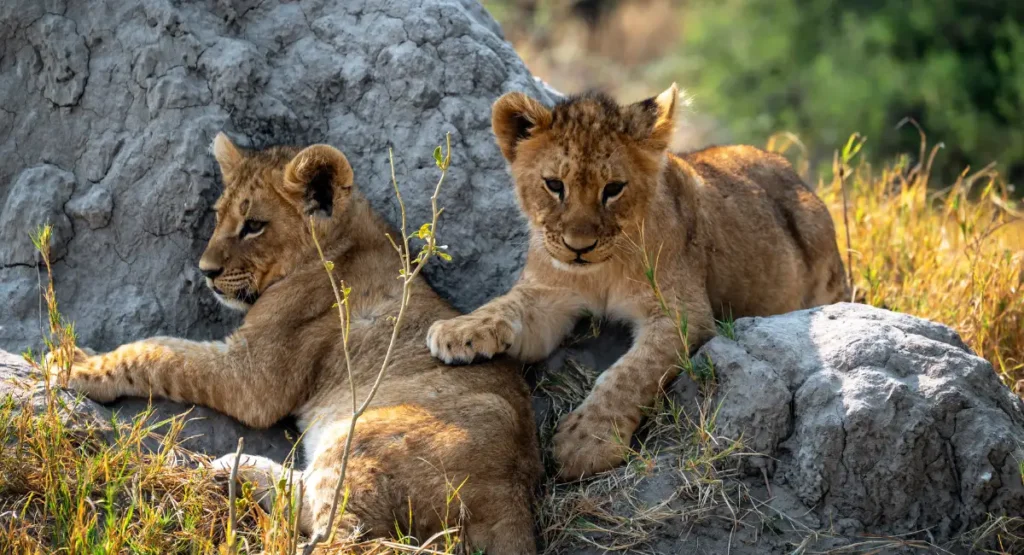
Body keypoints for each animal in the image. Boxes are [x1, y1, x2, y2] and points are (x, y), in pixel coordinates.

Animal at [62, 133, 541, 554]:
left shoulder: (252, 378)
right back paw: (237, 468)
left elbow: (159, 352)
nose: (206, 271)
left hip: (364, 438)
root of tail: (513, 505)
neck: (341, 243)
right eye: (218, 217)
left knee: (335, 527)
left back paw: (237, 474)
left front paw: (74, 365)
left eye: (254, 226)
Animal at [427, 84, 848, 480]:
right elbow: (505, 305)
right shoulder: (548, 296)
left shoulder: (682, 314)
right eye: (554, 185)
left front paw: (586, 442)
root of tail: (792, 172)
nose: (578, 247)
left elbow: (629, 374)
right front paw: (458, 330)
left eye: (613, 189)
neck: (601, 272)